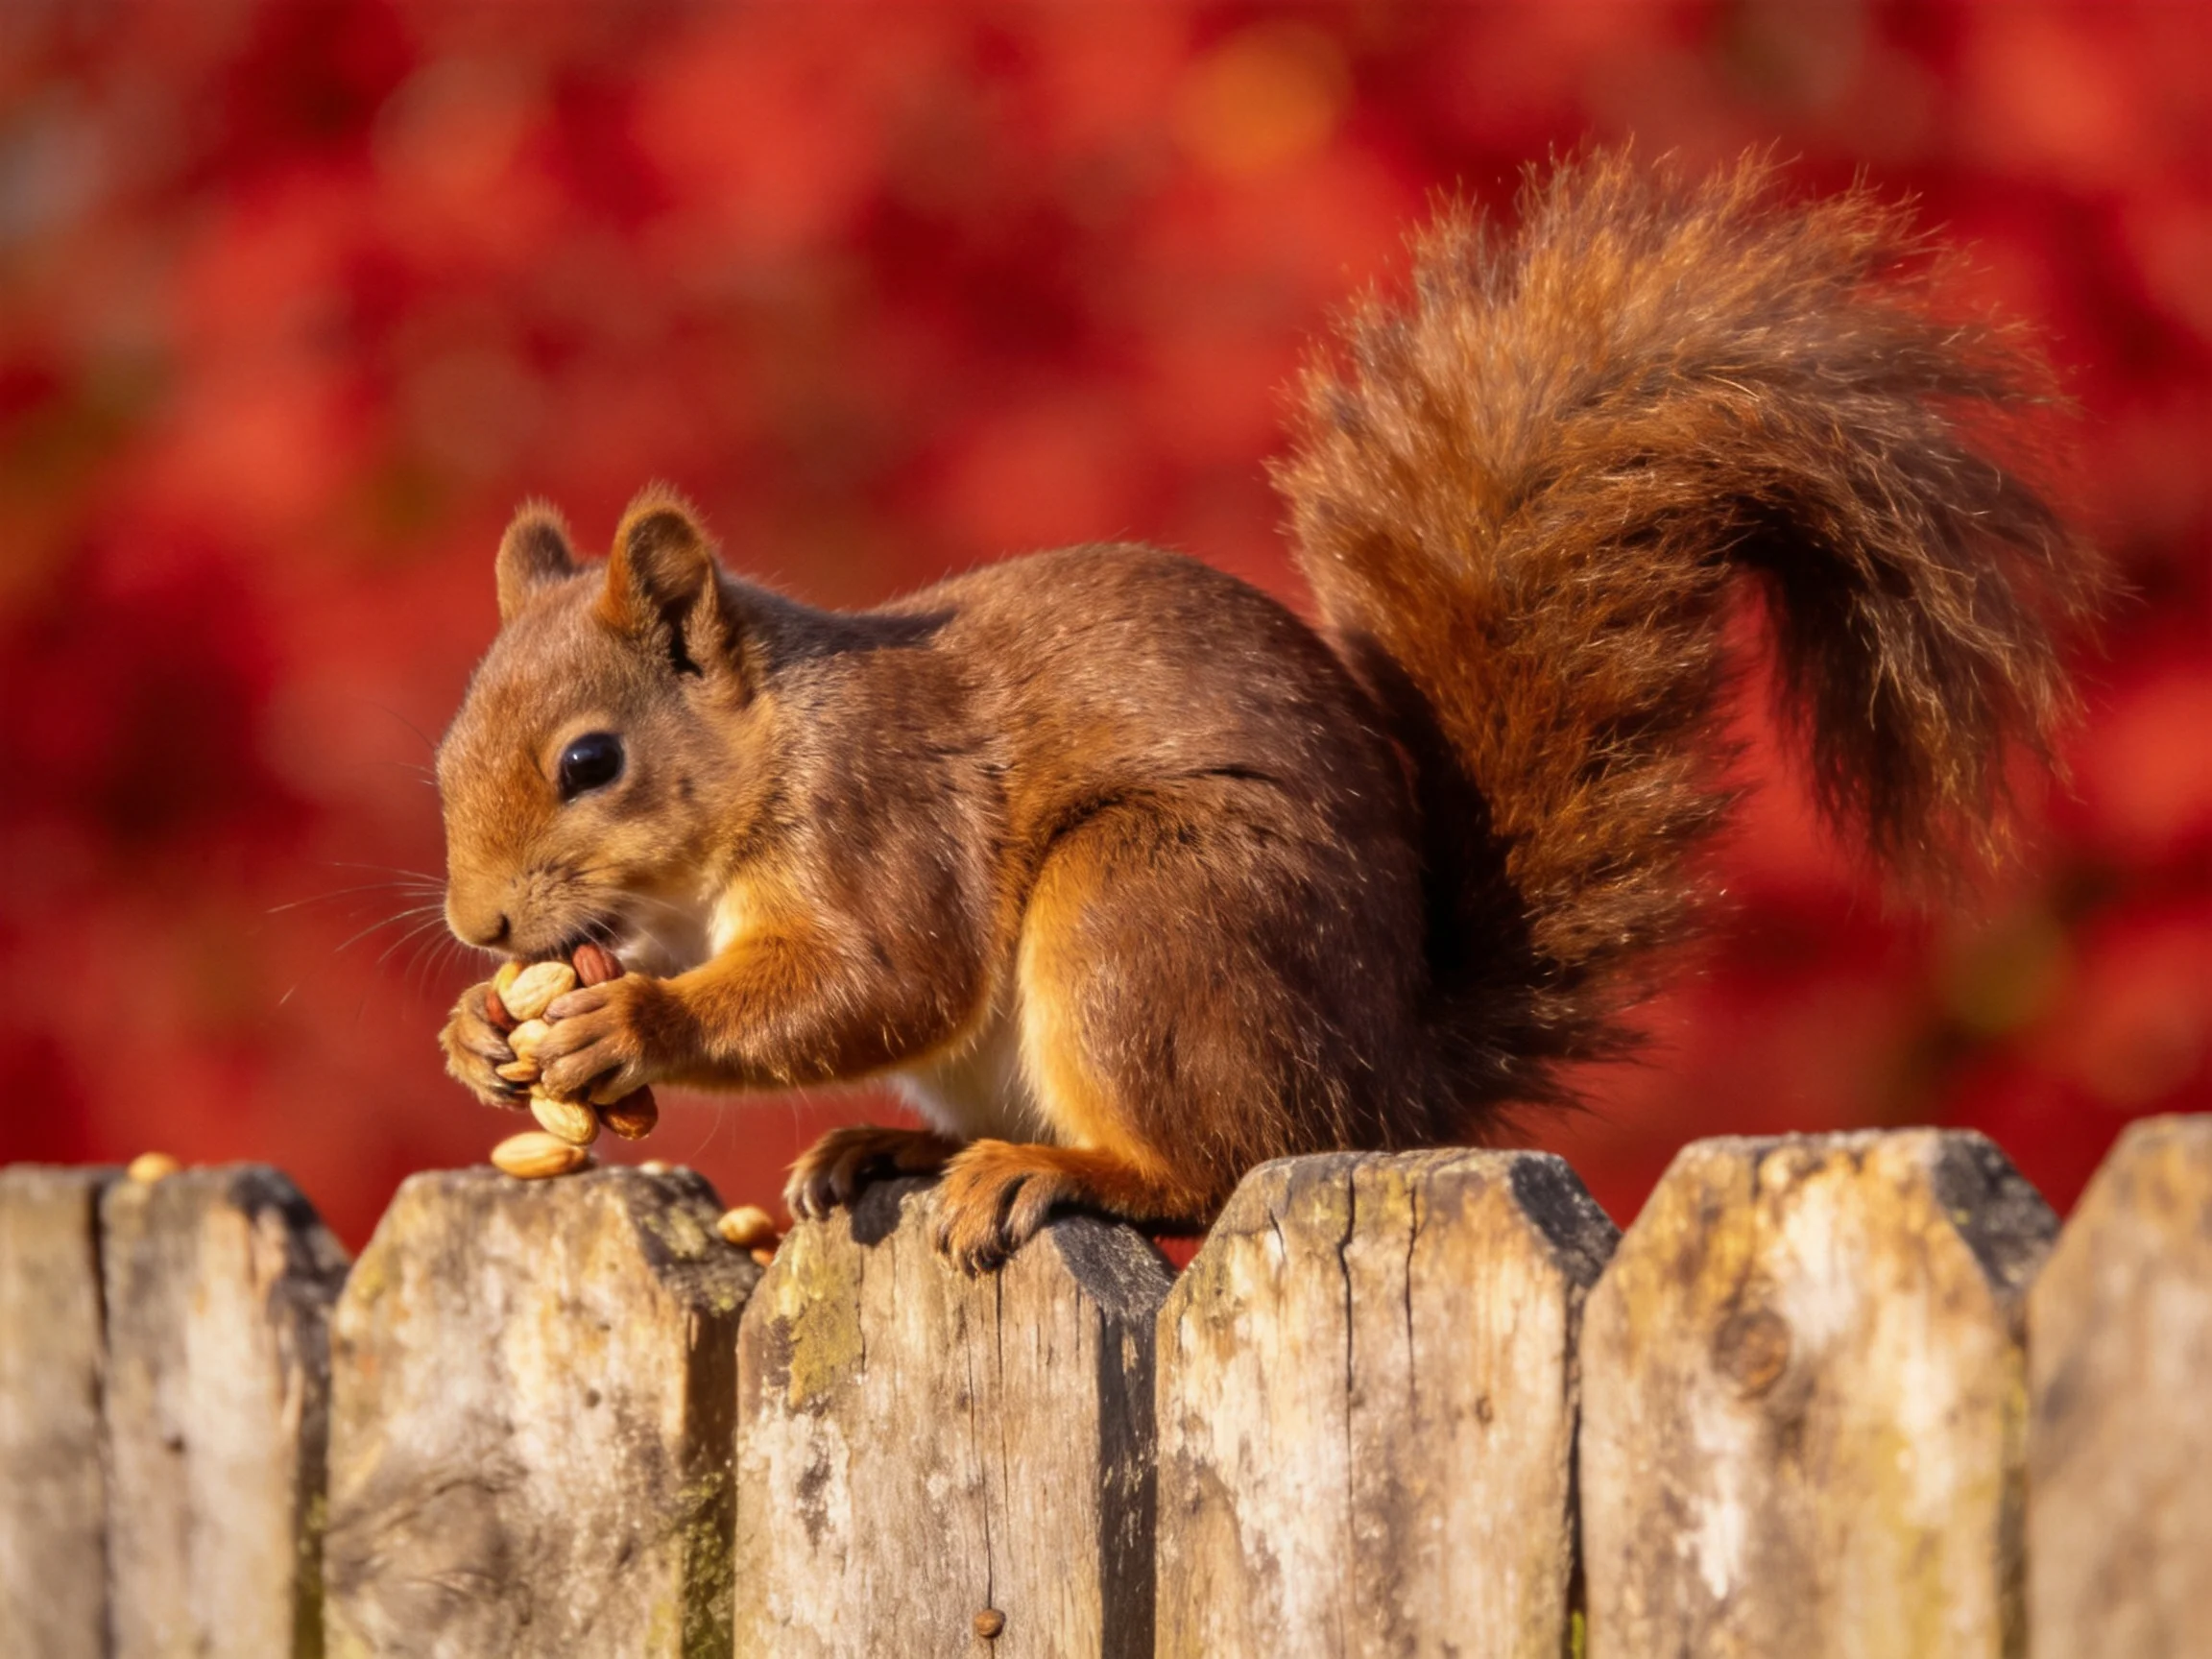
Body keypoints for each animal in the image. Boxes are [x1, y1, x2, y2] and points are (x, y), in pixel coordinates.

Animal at [436, 150, 2102, 1271]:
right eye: (447, 759)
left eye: (592, 761)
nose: (475, 927)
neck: (768, 746)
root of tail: (1392, 1078)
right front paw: (478, 1033)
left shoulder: (883, 817)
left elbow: (876, 975)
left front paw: (628, 1023)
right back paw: (900, 1144)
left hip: (1151, 907)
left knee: (1223, 1158)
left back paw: (1066, 1172)